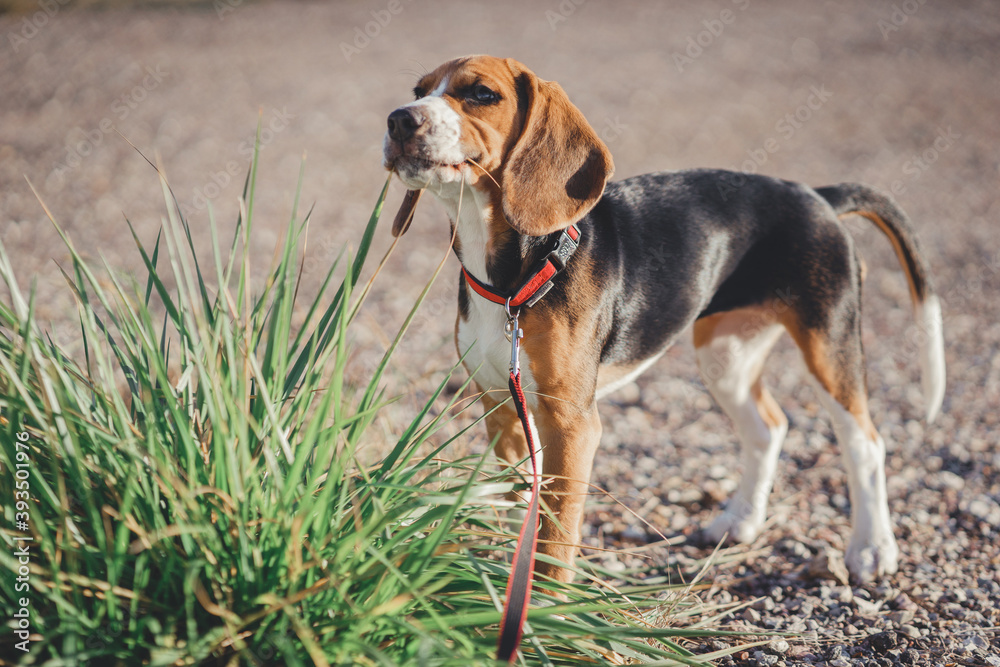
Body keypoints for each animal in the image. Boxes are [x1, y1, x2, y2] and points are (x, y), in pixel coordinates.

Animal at [380, 56, 944, 584]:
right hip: (726, 358)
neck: (512, 276)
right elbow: (525, 503)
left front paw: (546, 606)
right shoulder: (501, 406)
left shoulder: (572, 423)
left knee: (865, 444)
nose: (399, 118)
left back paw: (872, 549)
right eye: (417, 90)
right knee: (768, 428)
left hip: (830, 343)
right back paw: (738, 522)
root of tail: (819, 197)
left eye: (481, 94)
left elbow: (557, 534)